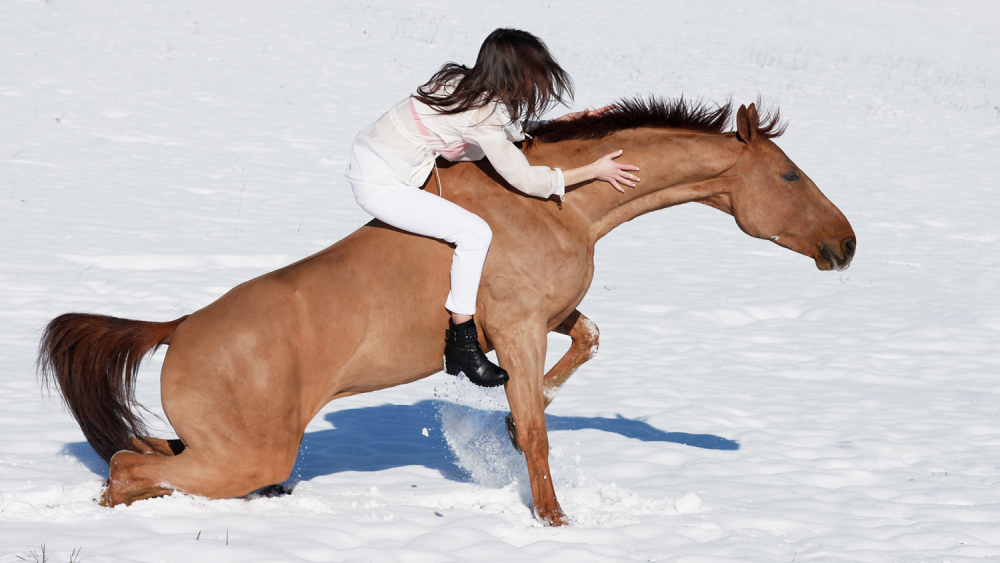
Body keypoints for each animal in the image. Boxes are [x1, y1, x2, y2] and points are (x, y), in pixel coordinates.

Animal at [37, 99, 852, 528]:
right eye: (789, 175)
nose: (844, 244)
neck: (554, 204)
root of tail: (177, 330)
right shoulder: (517, 329)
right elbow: (535, 429)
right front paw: (553, 519)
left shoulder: (540, 319)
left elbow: (584, 344)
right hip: (248, 451)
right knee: (128, 463)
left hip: (226, 448)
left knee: (145, 454)